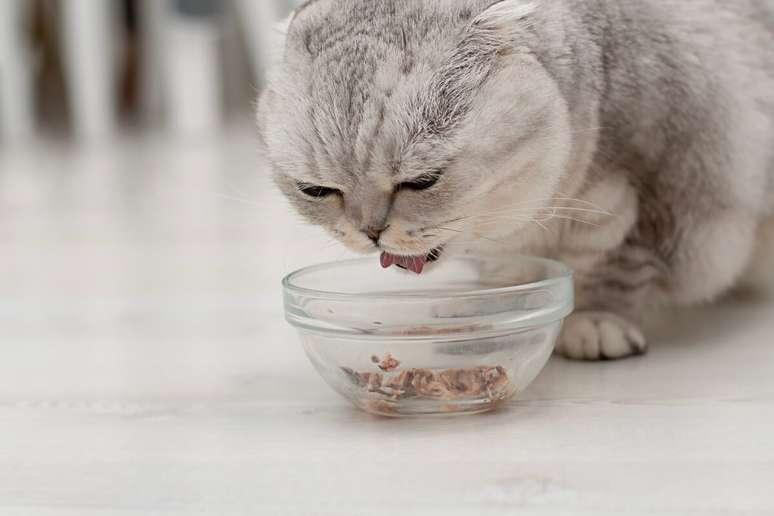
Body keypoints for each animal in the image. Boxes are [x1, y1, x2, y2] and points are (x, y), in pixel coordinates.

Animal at [260, 0, 774, 360]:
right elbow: (509, 275)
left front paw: (595, 320)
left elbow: (618, 269)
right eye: (316, 190)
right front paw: (490, 310)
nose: (369, 232)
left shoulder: (661, 196)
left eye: (422, 182)